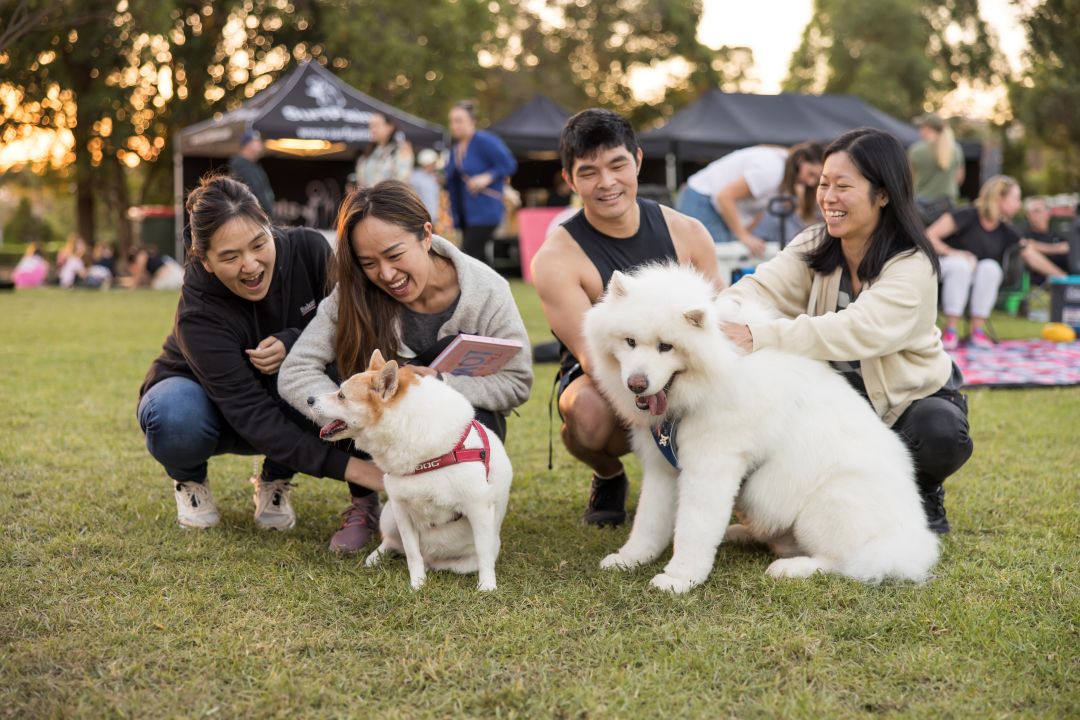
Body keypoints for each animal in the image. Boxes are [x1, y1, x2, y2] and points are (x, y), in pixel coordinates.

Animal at [311, 349, 511, 591]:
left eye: (341, 395)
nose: (309, 399)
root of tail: (434, 559)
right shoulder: (402, 511)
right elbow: (412, 553)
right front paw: (417, 585)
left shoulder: (478, 508)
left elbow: (483, 554)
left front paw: (487, 586)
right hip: (389, 516)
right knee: (392, 543)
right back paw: (375, 559)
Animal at [583, 263, 937, 591]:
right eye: (630, 342)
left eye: (666, 347)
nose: (636, 384)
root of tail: (911, 542)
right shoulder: (663, 467)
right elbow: (649, 521)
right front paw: (630, 558)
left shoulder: (710, 467)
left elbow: (693, 528)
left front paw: (679, 578)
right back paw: (740, 533)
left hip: (830, 502)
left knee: (843, 562)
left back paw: (790, 568)